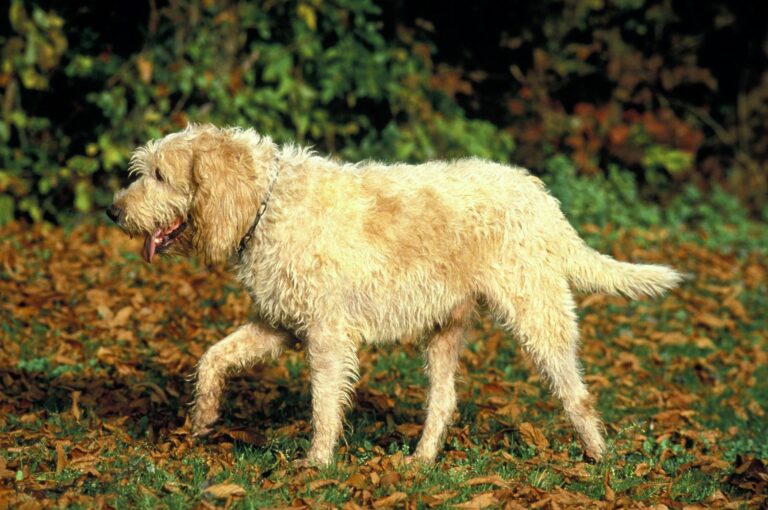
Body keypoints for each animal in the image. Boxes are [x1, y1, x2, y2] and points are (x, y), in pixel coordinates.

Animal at [105, 123, 680, 466]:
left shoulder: (327, 337)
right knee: (444, 401)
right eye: (144, 171)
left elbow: (323, 405)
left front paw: (316, 465)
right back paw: (421, 462)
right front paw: (202, 419)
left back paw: (600, 460)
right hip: (445, 333)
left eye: (160, 175)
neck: (268, 201)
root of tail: (543, 200)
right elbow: (212, 359)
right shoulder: (280, 324)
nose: (113, 211)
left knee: (576, 394)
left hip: (538, 318)